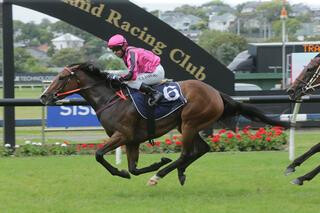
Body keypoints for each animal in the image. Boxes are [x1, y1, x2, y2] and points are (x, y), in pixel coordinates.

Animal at [40, 62, 290, 186]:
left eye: (62, 77)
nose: (43, 96)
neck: (111, 99)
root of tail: (215, 92)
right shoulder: (132, 140)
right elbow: (133, 168)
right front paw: (143, 166)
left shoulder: (123, 135)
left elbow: (99, 154)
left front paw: (129, 171)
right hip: (186, 125)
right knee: (202, 149)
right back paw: (179, 172)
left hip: (189, 122)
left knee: (187, 153)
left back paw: (160, 175)